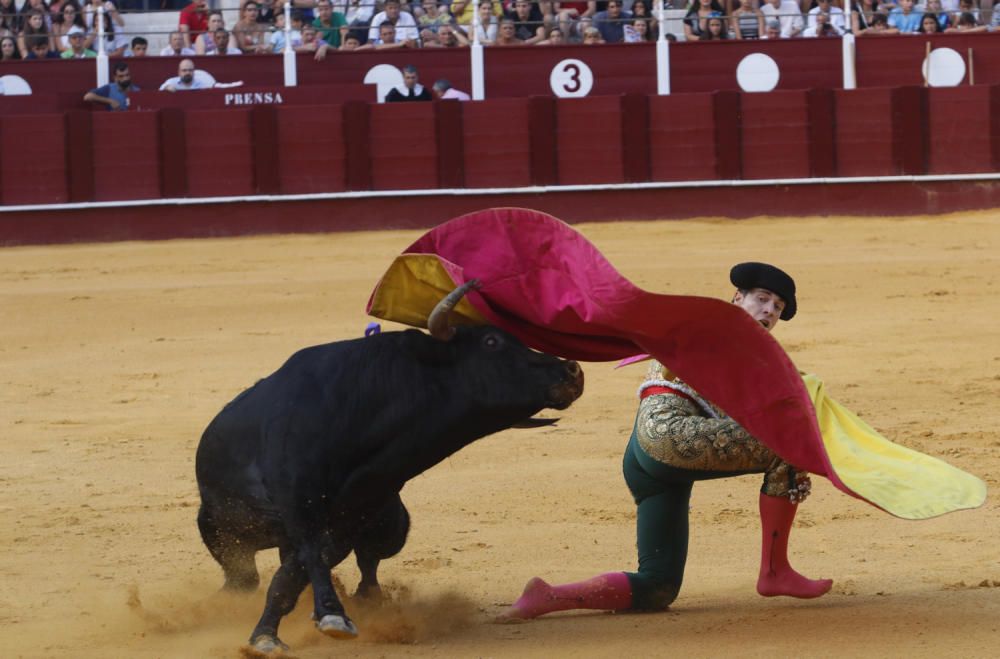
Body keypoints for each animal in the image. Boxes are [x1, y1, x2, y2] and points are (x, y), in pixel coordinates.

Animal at [193, 280, 584, 656]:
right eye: (491, 341)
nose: (572, 370)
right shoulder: (299, 502)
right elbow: (306, 560)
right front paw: (317, 620)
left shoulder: (349, 518)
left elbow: (293, 575)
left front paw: (273, 632)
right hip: (217, 527)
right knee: (244, 578)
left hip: (391, 523)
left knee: (366, 564)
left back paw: (369, 601)